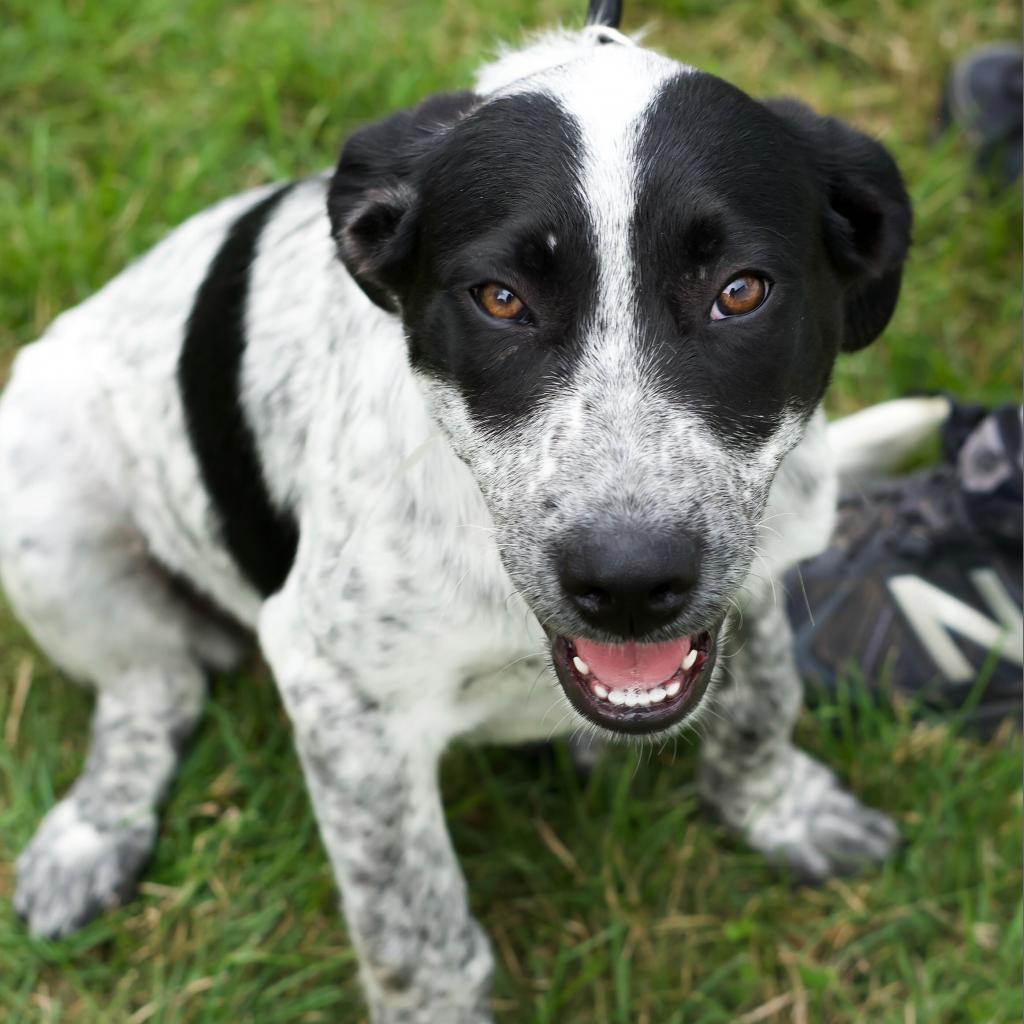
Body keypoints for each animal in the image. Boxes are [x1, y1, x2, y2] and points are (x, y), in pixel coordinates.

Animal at [0, 4, 913, 1019]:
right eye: (500, 299)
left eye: (741, 292)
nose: (630, 585)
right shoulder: (342, 697)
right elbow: (411, 919)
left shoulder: (757, 574)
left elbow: (761, 707)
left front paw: (779, 809)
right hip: (44, 494)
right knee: (150, 689)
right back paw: (92, 832)